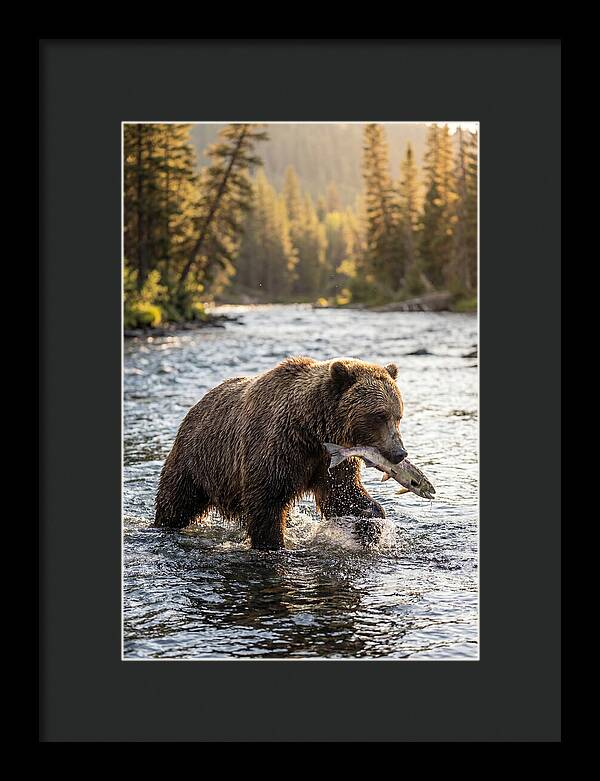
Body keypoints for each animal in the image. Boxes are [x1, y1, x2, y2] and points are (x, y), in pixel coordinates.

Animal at [154, 356, 408, 550]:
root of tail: (196, 405)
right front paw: (272, 543)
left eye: (398, 415)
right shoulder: (278, 447)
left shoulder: (330, 459)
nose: (400, 453)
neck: (311, 430)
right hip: (197, 460)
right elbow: (266, 502)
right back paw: (163, 525)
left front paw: (371, 524)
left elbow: (342, 494)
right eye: (379, 415)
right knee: (176, 501)